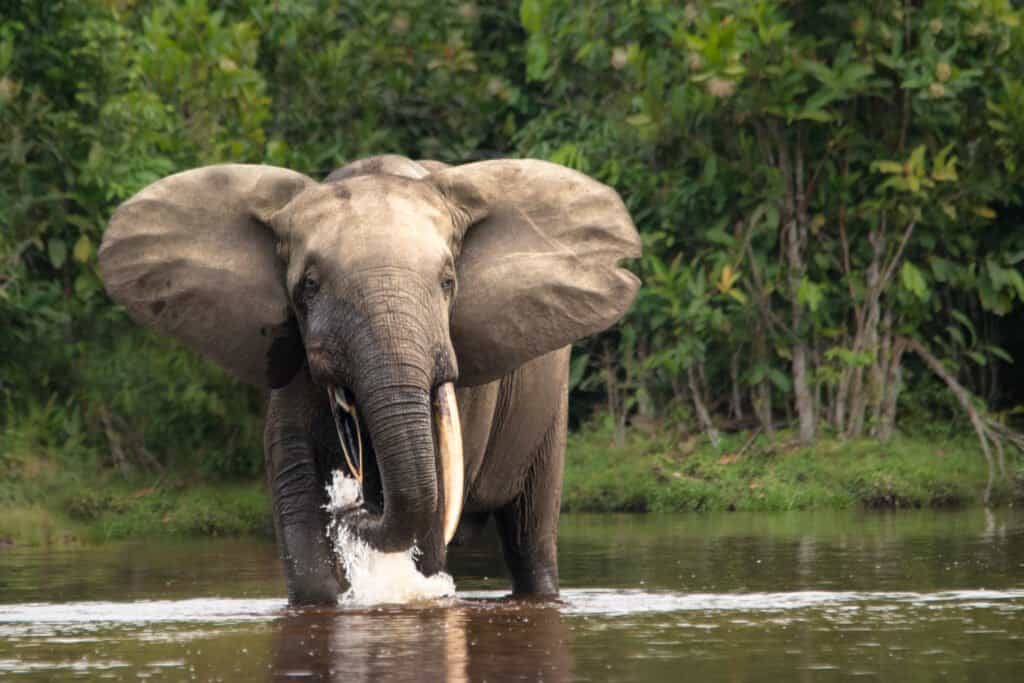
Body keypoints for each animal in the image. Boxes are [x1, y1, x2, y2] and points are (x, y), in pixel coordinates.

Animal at [97, 153, 638, 602]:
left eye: (448, 283)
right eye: (309, 286)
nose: (354, 503)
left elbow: (434, 505)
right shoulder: (293, 357)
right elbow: (296, 489)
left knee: (531, 536)